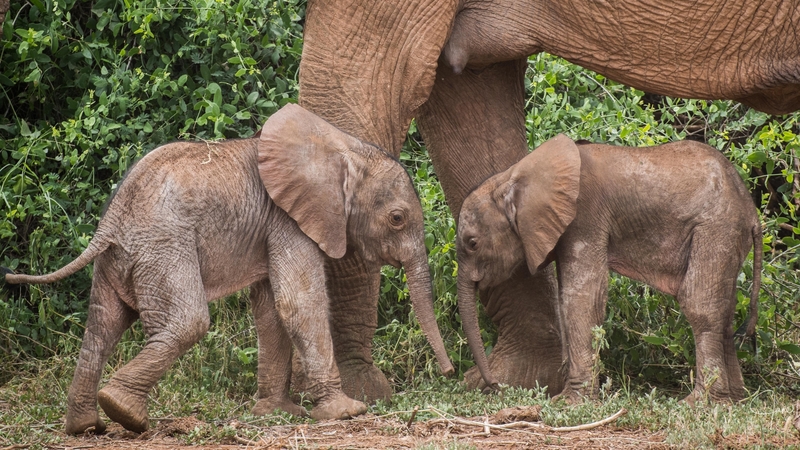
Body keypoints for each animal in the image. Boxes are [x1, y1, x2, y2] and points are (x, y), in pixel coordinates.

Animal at [2, 104, 454, 435]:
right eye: (397, 219)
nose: (449, 372)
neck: (341, 149)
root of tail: (110, 221)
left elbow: (271, 311)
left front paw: (278, 412)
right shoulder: (288, 220)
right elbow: (299, 303)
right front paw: (346, 412)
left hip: (122, 257)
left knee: (102, 326)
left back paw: (86, 426)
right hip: (163, 246)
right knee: (187, 322)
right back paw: (126, 414)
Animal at [455, 134, 762, 402]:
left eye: (472, 243)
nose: (494, 386)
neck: (513, 176)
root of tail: (752, 211)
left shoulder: (585, 217)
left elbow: (581, 299)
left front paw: (570, 402)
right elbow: (566, 297)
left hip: (716, 227)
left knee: (700, 305)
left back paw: (700, 402)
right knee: (725, 312)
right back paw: (733, 400)